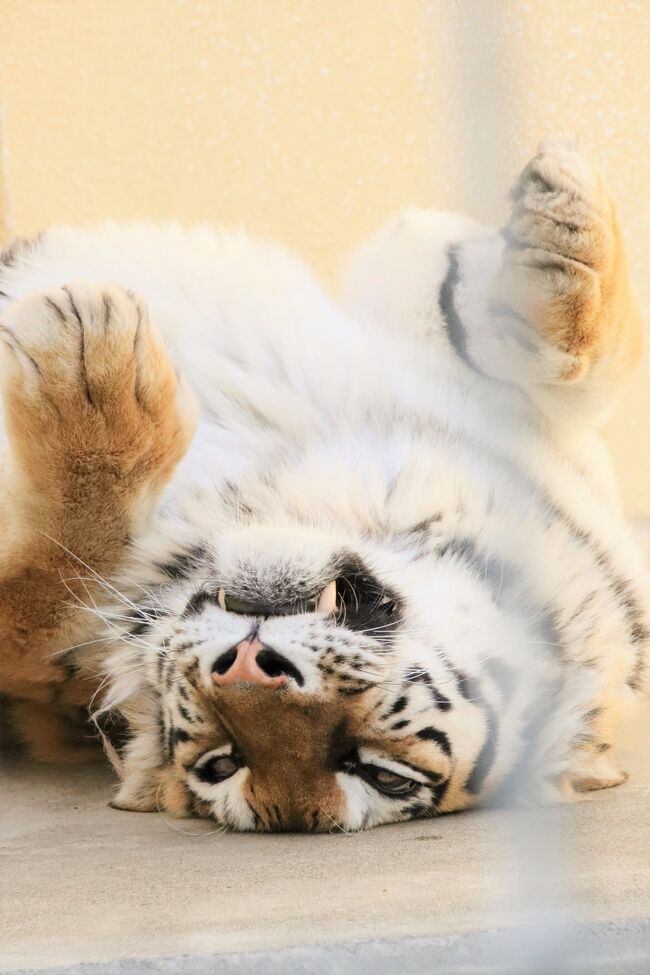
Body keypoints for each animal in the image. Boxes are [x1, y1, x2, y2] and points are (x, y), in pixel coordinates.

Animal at [0, 143, 644, 832]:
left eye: (381, 774)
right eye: (223, 764)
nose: (248, 668)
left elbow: (47, 581)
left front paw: (91, 366)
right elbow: (586, 363)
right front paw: (566, 211)